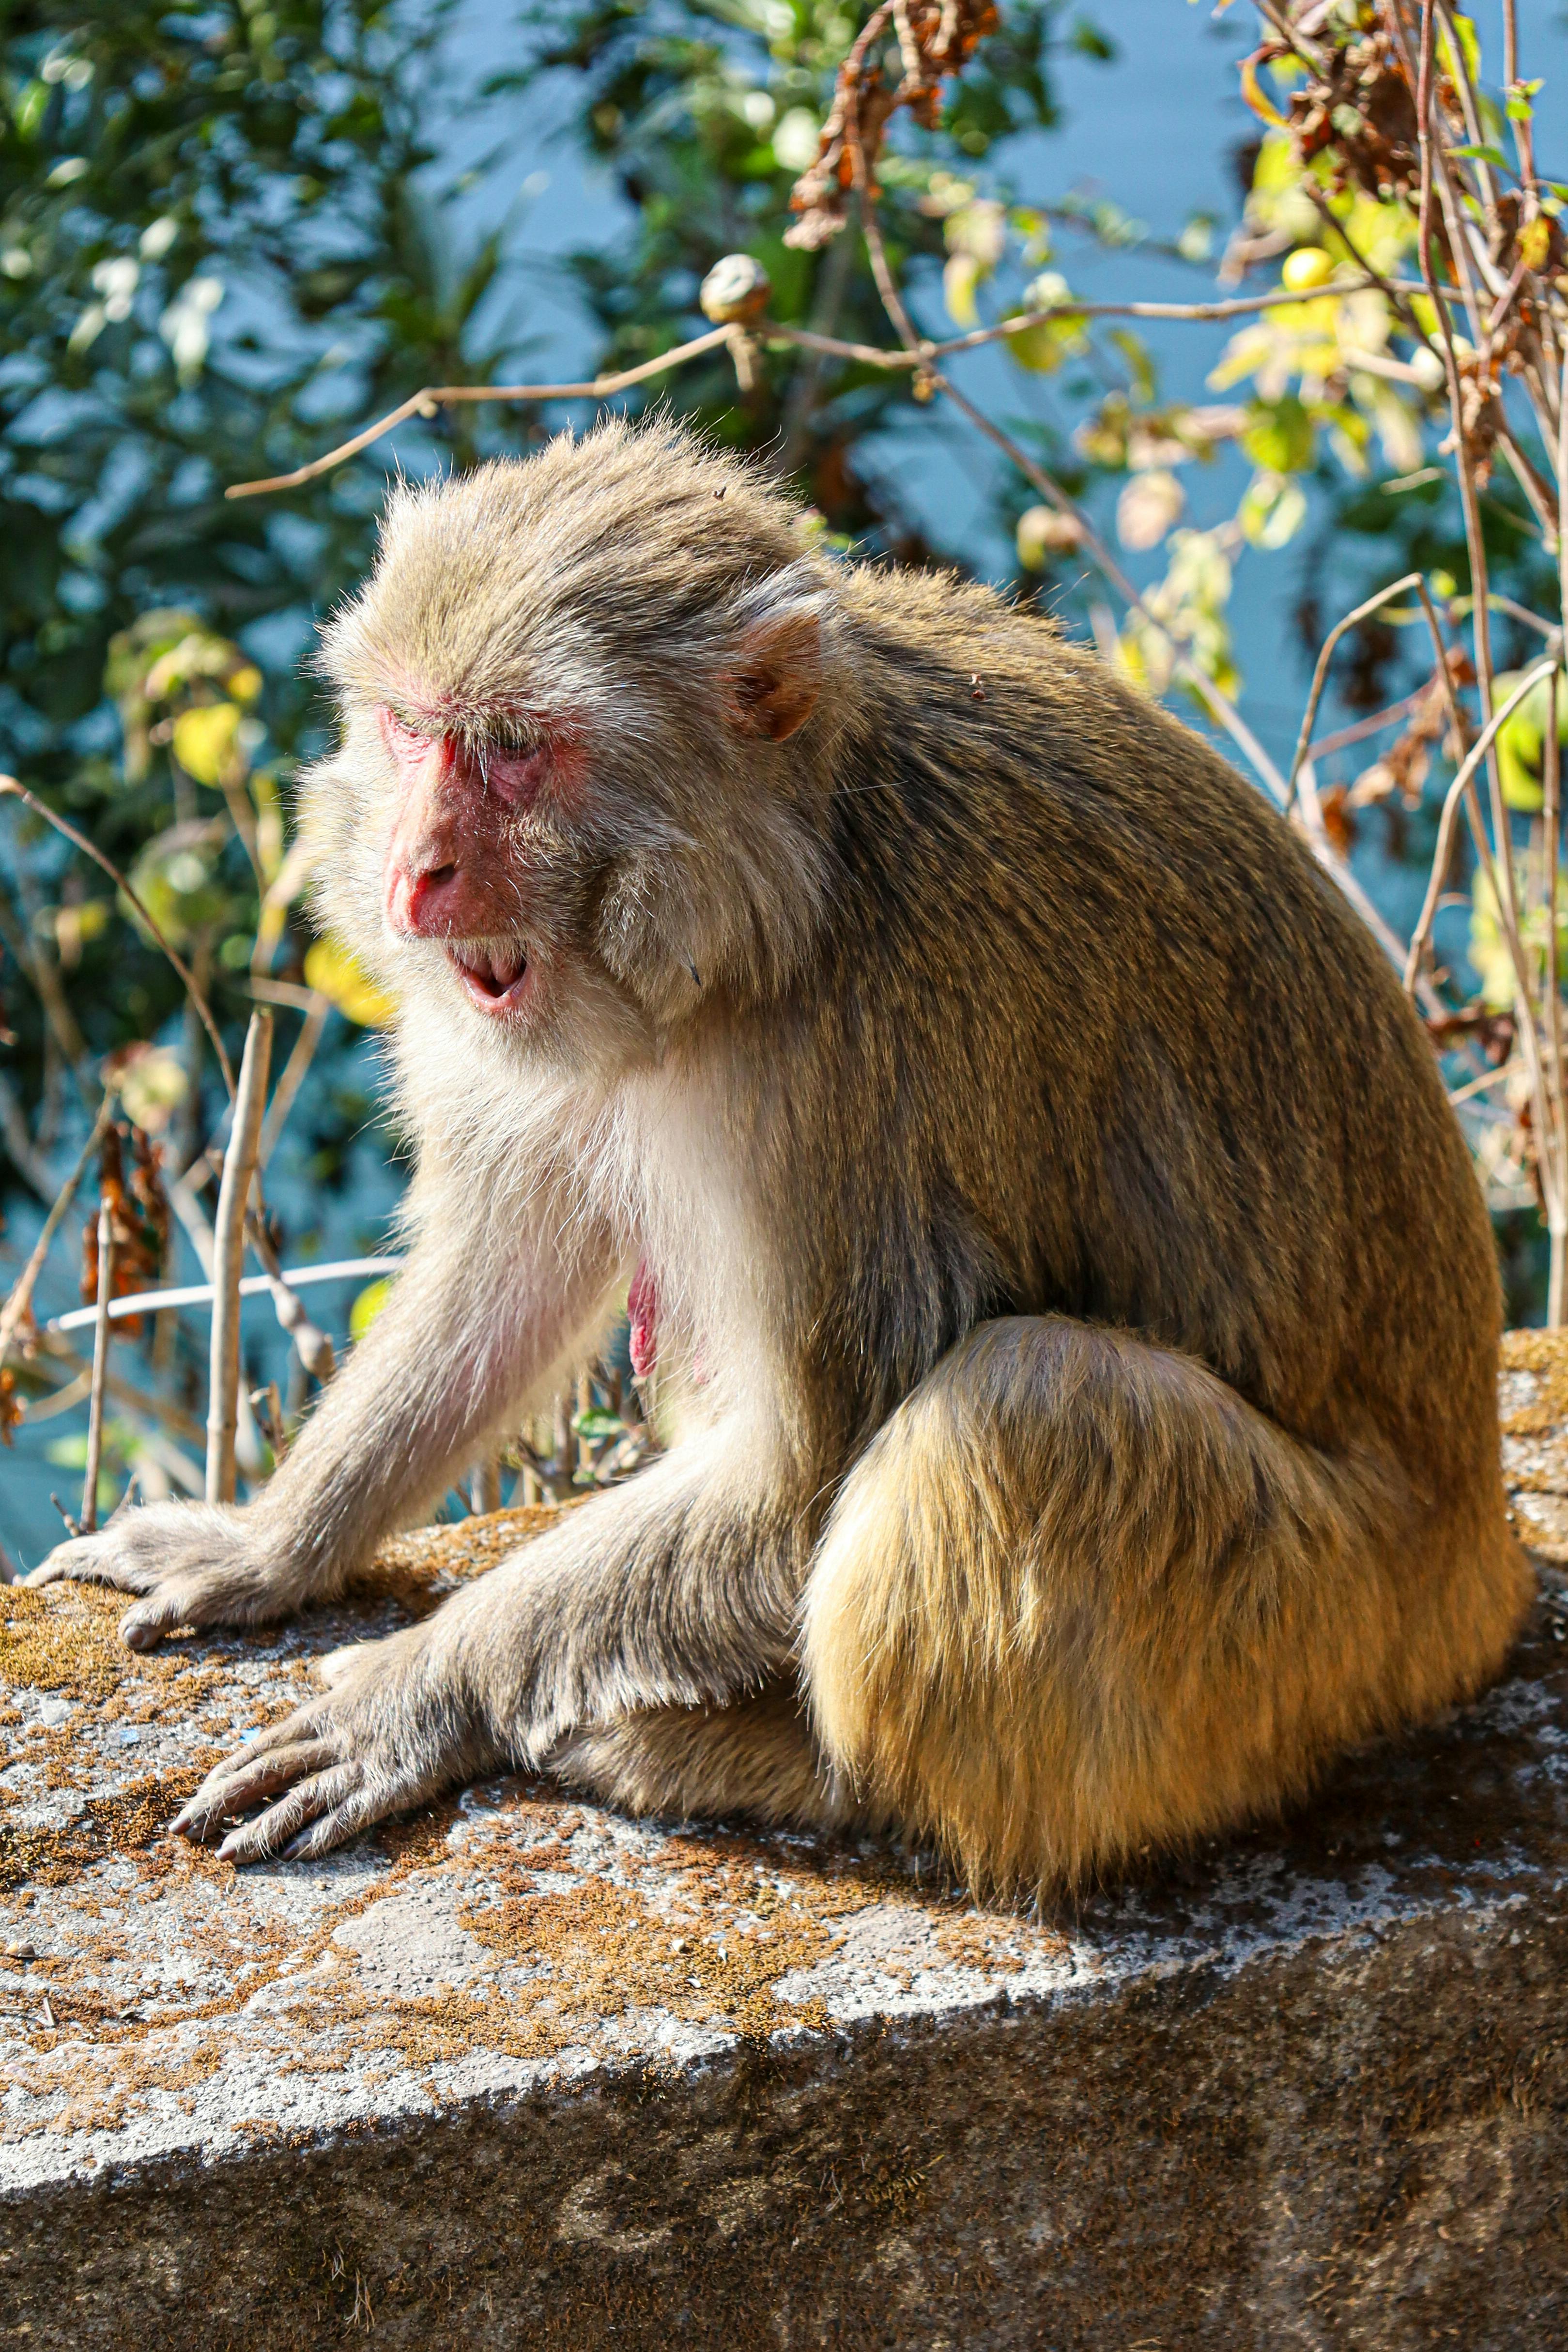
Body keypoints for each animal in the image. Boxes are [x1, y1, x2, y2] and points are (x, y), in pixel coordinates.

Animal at [30, 418, 1531, 1895]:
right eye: (408, 731)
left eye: (511, 746)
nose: (413, 874)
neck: (793, 877)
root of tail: (1474, 1570)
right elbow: (508, 1271)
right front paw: (269, 1545)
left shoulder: (852, 1077)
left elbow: (793, 1466)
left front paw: (420, 1693)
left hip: (1315, 1635)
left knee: (1030, 1400)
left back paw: (802, 1771)